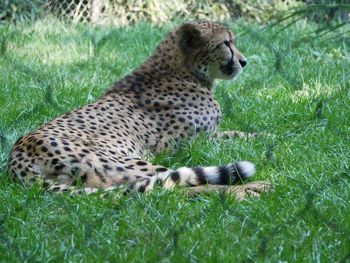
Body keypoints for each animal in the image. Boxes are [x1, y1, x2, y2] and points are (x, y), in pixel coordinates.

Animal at [7, 21, 270, 199]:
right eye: (226, 43)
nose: (244, 61)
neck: (184, 71)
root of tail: (17, 158)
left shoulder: (211, 134)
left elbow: (239, 133)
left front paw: (270, 136)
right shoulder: (186, 144)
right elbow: (230, 138)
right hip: (127, 164)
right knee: (172, 188)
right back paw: (249, 189)